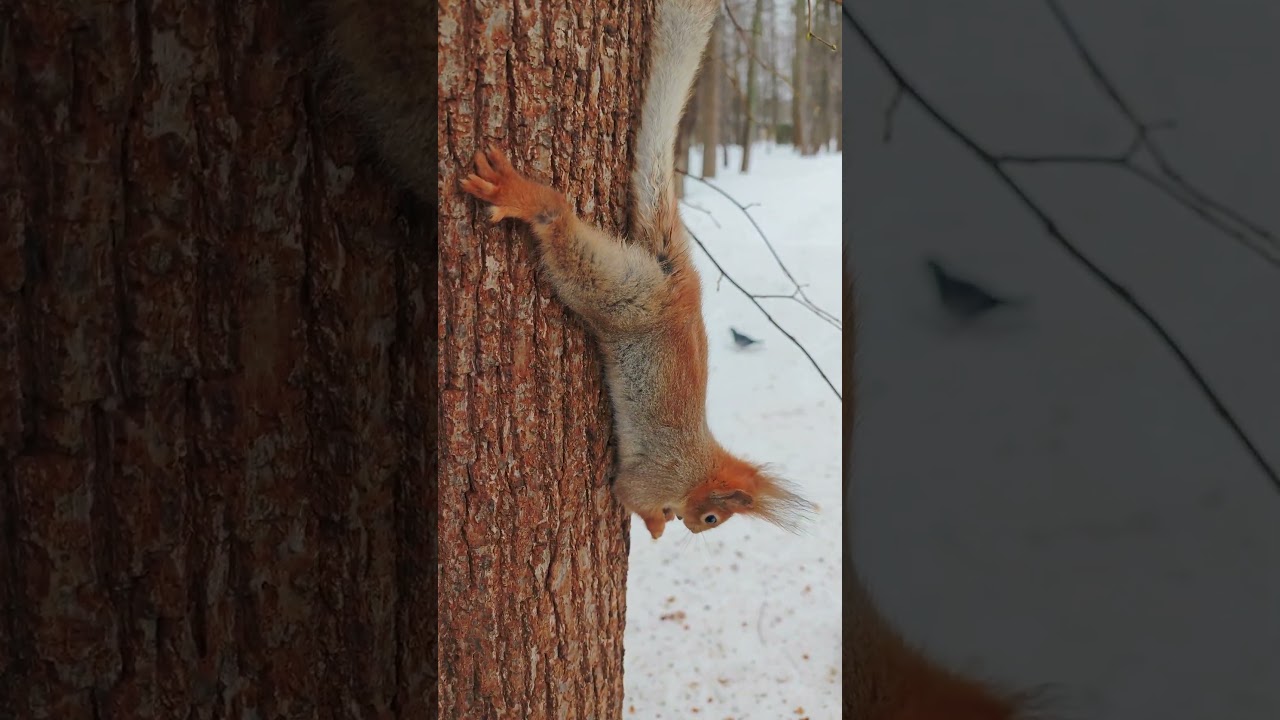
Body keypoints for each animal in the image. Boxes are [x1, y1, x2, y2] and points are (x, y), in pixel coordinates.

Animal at [458, 0, 813, 540]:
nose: (693, 529)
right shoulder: (653, 475)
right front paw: (657, 525)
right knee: (559, 222)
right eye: (713, 517)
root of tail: (681, 281)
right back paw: (523, 197)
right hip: (621, 290)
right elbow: (630, 495)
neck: (697, 466)